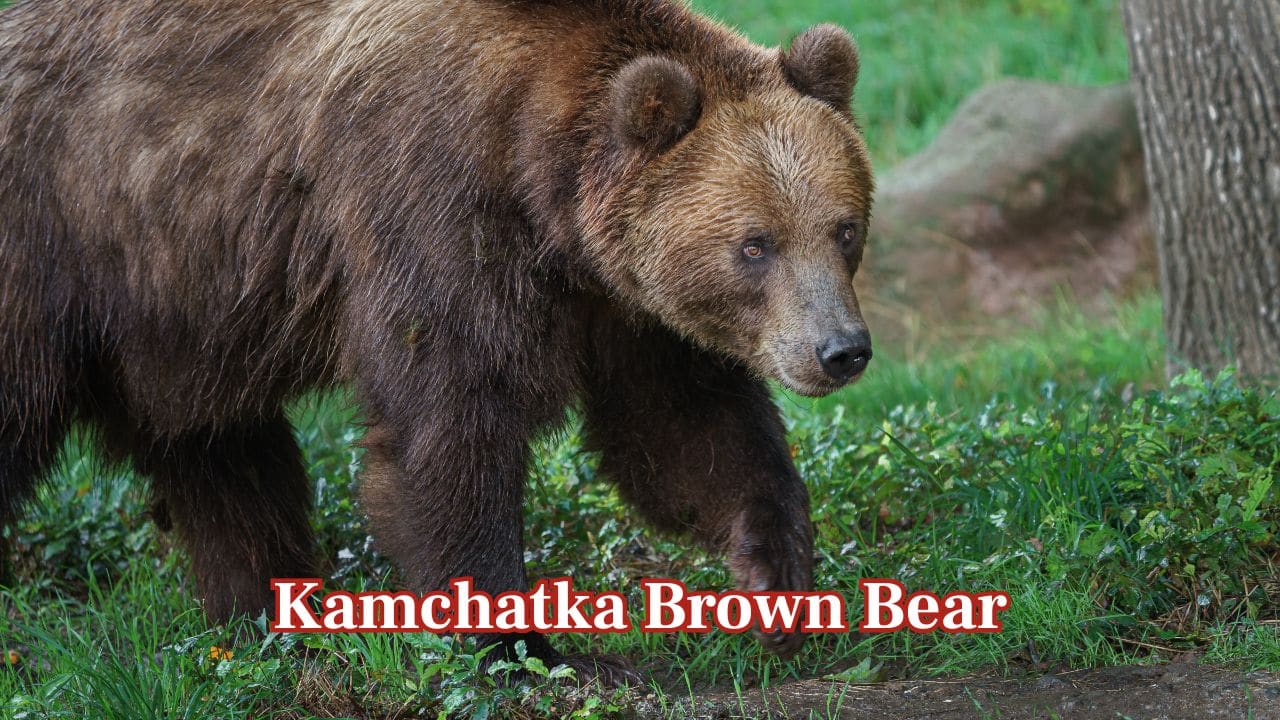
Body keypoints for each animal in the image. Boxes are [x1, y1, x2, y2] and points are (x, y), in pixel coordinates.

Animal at [0, 0, 873, 682]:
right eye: (754, 245)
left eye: (844, 228)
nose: (841, 349)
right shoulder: (432, 205)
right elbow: (451, 425)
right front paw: (530, 649)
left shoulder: (624, 305)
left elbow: (684, 431)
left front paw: (778, 580)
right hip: (59, 242)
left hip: (177, 312)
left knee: (224, 458)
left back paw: (277, 624)